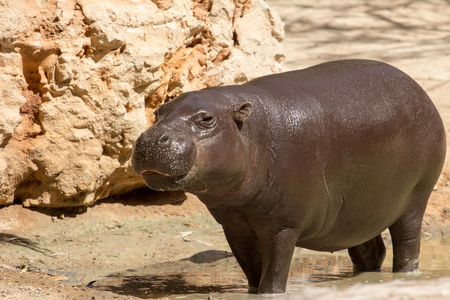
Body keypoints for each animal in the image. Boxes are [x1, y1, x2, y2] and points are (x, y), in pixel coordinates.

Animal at [131, 59, 446, 294]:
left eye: (206, 119)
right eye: (158, 112)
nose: (151, 138)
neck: (252, 131)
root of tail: (420, 90)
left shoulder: (283, 226)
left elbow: (274, 275)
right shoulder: (235, 225)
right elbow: (252, 273)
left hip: (415, 199)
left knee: (407, 245)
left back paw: (405, 277)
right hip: (358, 214)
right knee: (370, 251)